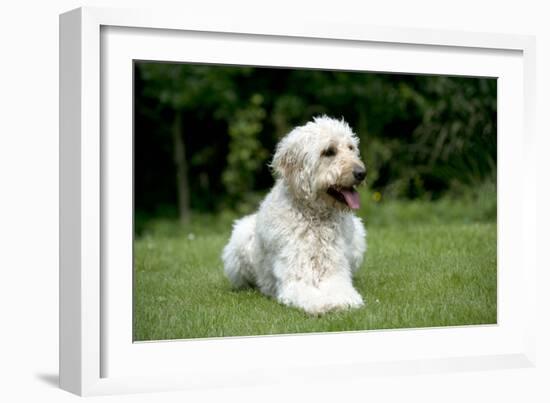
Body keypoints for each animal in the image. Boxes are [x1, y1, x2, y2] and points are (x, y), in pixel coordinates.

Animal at [222, 116, 368, 316]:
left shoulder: (335, 272)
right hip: (240, 239)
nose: (362, 173)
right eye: (329, 151)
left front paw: (343, 301)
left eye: (351, 148)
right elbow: (308, 294)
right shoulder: (297, 277)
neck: (315, 217)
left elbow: (341, 289)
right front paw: (323, 304)